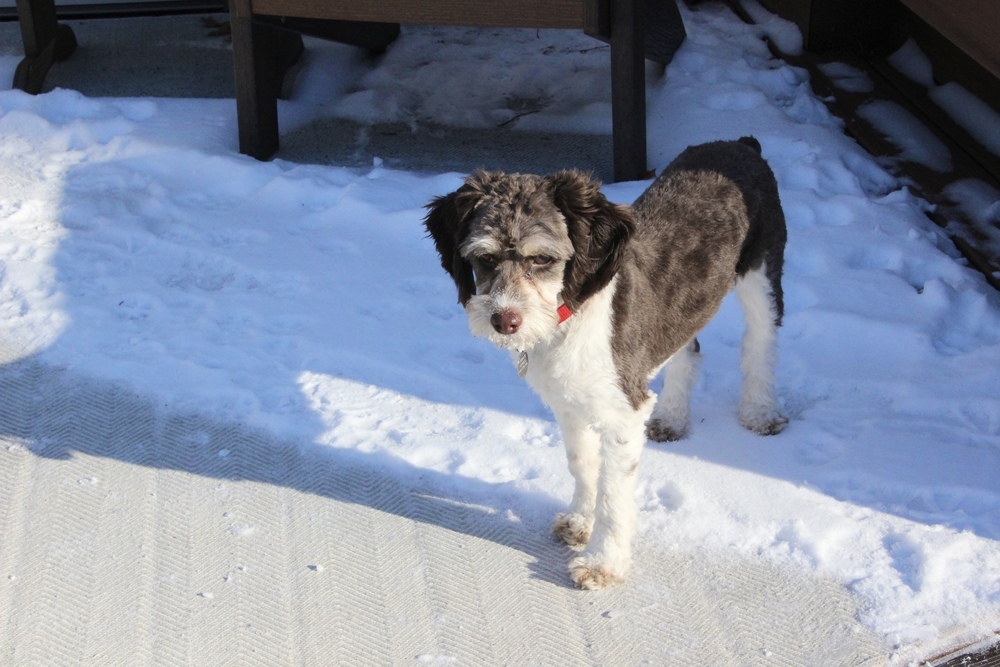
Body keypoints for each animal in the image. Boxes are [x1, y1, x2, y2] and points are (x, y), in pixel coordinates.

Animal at [422, 136, 788, 588]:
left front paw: (603, 562)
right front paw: (581, 521)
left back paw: (760, 411)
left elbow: (614, 496)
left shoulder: (622, 414)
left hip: (762, 272)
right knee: (687, 346)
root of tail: (738, 142)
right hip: (684, 303)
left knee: (760, 341)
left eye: (542, 259)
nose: (504, 320)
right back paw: (673, 417)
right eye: (484, 258)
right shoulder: (568, 403)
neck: (569, 310)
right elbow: (582, 463)